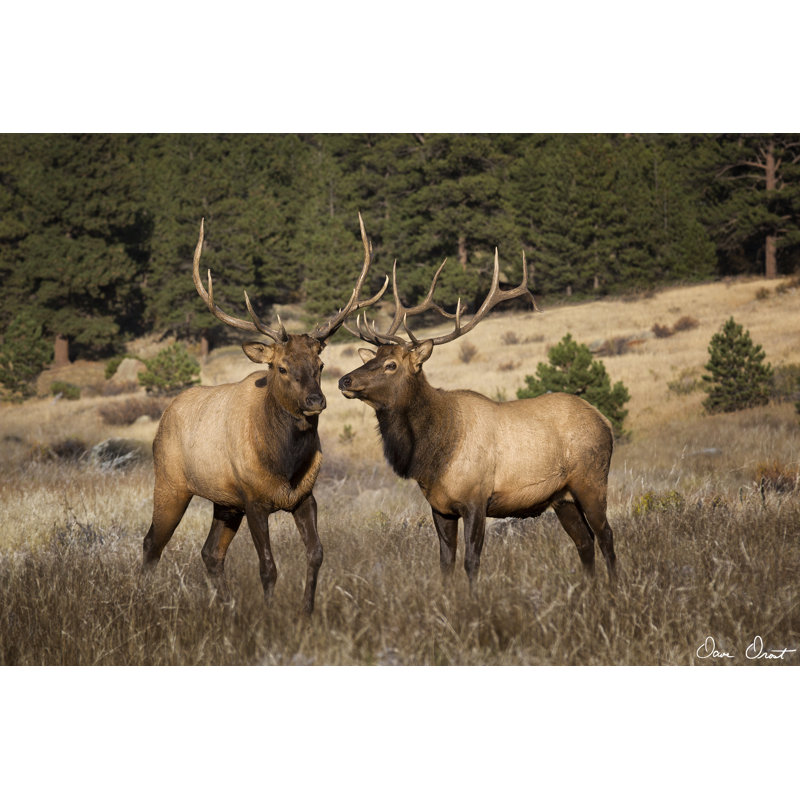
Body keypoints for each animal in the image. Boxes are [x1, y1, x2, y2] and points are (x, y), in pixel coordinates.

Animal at [142, 214, 387, 614]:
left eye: (320, 364)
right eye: (281, 368)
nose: (315, 401)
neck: (284, 463)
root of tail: (165, 416)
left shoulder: (304, 497)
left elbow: (317, 554)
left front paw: (306, 611)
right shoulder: (254, 500)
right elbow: (268, 567)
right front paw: (271, 615)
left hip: (224, 502)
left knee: (210, 553)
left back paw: (226, 608)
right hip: (171, 482)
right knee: (152, 544)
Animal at [338, 249, 617, 590]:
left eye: (391, 364)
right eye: (373, 358)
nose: (345, 380)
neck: (431, 454)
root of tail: (604, 421)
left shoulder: (476, 498)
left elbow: (472, 561)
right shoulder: (439, 506)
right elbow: (446, 562)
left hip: (592, 480)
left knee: (606, 536)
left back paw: (615, 590)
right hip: (562, 497)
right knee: (584, 541)